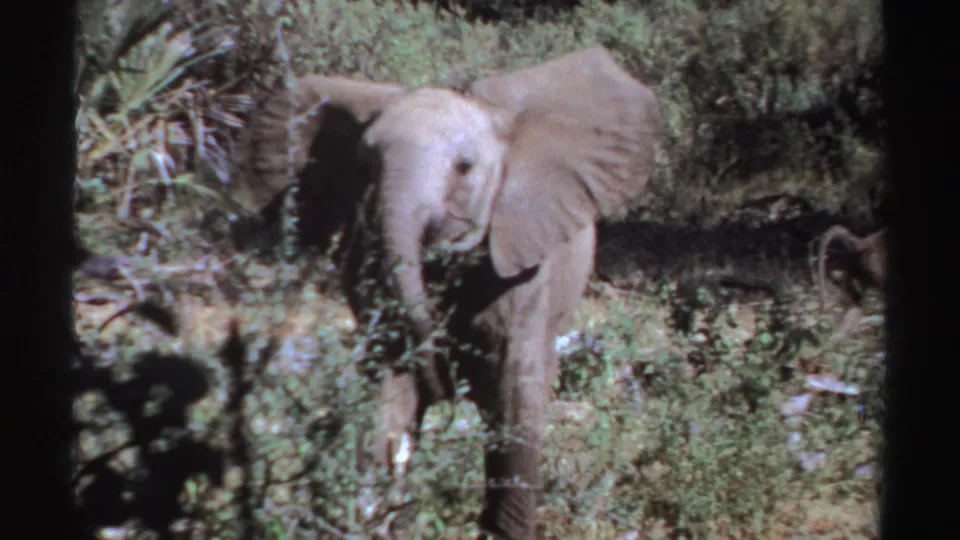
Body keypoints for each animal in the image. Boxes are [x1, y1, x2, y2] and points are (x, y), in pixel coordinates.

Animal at [235, 45, 662, 539]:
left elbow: (514, 396)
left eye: (465, 168)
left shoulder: (522, 266)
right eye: (364, 167)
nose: (443, 381)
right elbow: (389, 388)